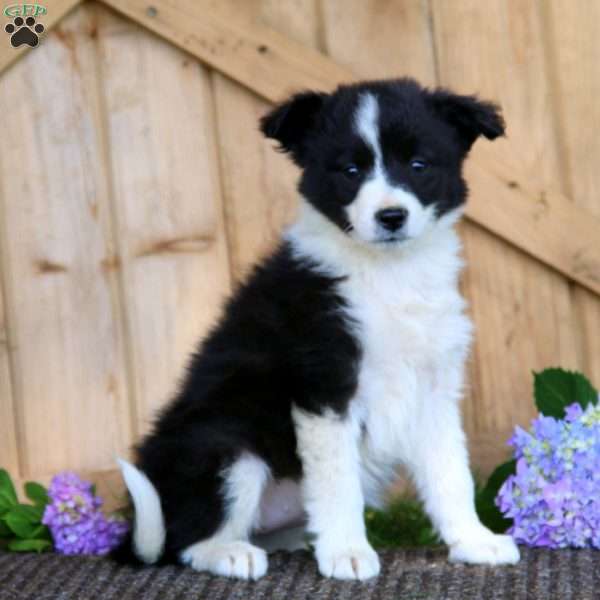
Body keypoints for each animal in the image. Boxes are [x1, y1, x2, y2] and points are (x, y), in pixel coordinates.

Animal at [117, 77, 520, 580]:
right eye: (350, 170)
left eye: (419, 165)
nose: (391, 217)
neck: (389, 273)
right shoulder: (325, 387)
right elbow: (337, 480)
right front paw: (348, 553)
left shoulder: (433, 389)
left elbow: (451, 473)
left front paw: (474, 541)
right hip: (226, 444)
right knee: (184, 542)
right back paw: (231, 553)